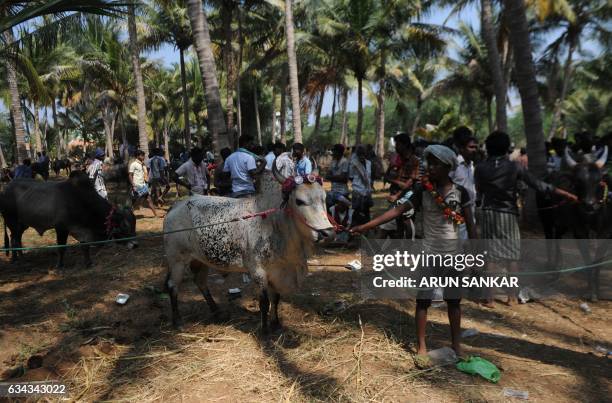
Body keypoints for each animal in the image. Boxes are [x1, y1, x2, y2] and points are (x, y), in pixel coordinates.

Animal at [0, 173, 136, 268]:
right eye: (124, 225)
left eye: (134, 223)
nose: (135, 244)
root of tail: (6, 189)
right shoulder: (61, 228)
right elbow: (61, 248)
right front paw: (59, 266)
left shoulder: (82, 231)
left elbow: (85, 246)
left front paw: (88, 263)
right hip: (12, 221)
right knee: (13, 239)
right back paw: (16, 259)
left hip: (22, 224)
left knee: (17, 238)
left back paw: (21, 256)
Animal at [163, 163, 334, 332]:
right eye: (299, 201)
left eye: (324, 199)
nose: (327, 232)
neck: (275, 224)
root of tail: (176, 205)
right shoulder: (258, 271)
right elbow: (264, 302)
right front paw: (264, 330)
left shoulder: (276, 272)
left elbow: (276, 298)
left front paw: (276, 323)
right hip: (177, 259)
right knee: (173, 286)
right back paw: (178, 322)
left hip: (201, 259)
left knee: (200, 282)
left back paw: (217, 312)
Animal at [536, 147, 608, 302]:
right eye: (578, 181)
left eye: (599, 180)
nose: (589, 205)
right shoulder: (579, 231)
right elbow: (587, 259)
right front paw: (590, 291)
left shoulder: (606, 233)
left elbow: (598, 261)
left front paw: (597, 291)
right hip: (546, 218)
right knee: (549, 239)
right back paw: (550, 267)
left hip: (562, 224)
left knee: (557, 239)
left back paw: (558, 267)